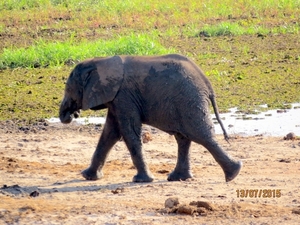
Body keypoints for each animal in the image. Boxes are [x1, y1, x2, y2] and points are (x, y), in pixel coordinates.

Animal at [59, 54, 243, 183]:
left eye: (68, 89)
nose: (72, 114)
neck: (101, 61)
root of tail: (208, 84)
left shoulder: (124, 96)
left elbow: (129, 133)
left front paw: (142, 180)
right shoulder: (117, 99)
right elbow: (110, 134)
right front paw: (87, 176)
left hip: (190, 100)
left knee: (201, 135)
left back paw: (233, 173)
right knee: (184, 138)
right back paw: (180, 178)